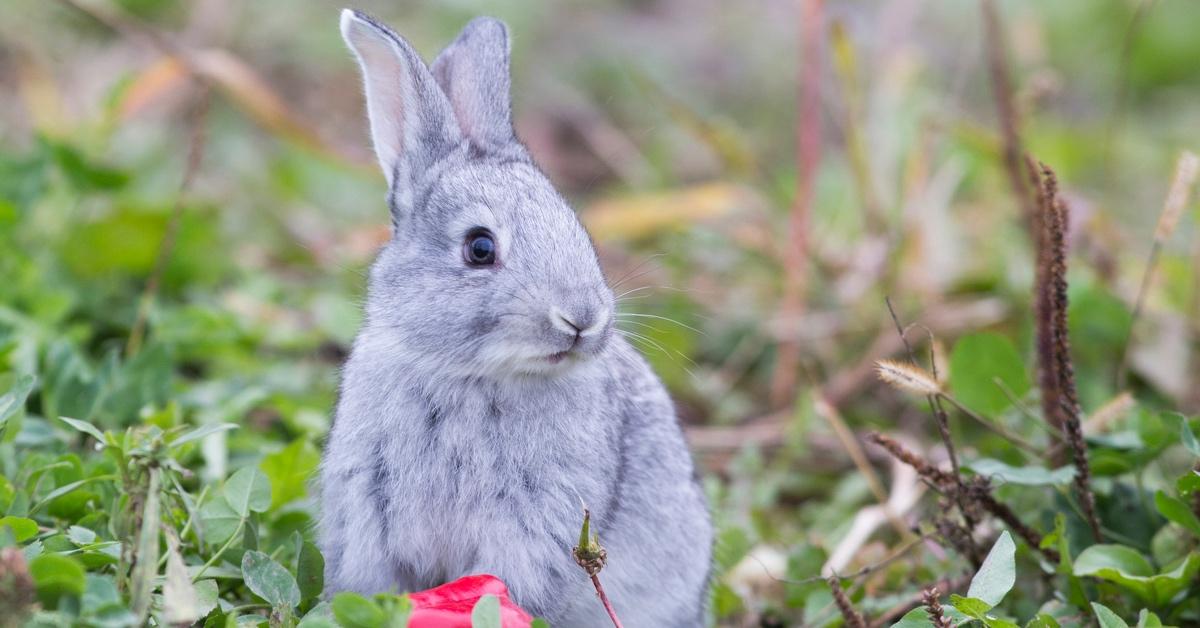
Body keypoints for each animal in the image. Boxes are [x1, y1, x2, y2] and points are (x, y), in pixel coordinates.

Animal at [319, 8, 710, 624]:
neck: (469, 373)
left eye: (576, 226)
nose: (582, 320)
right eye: (480, 248)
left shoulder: (536, 523)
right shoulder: (365, 511)